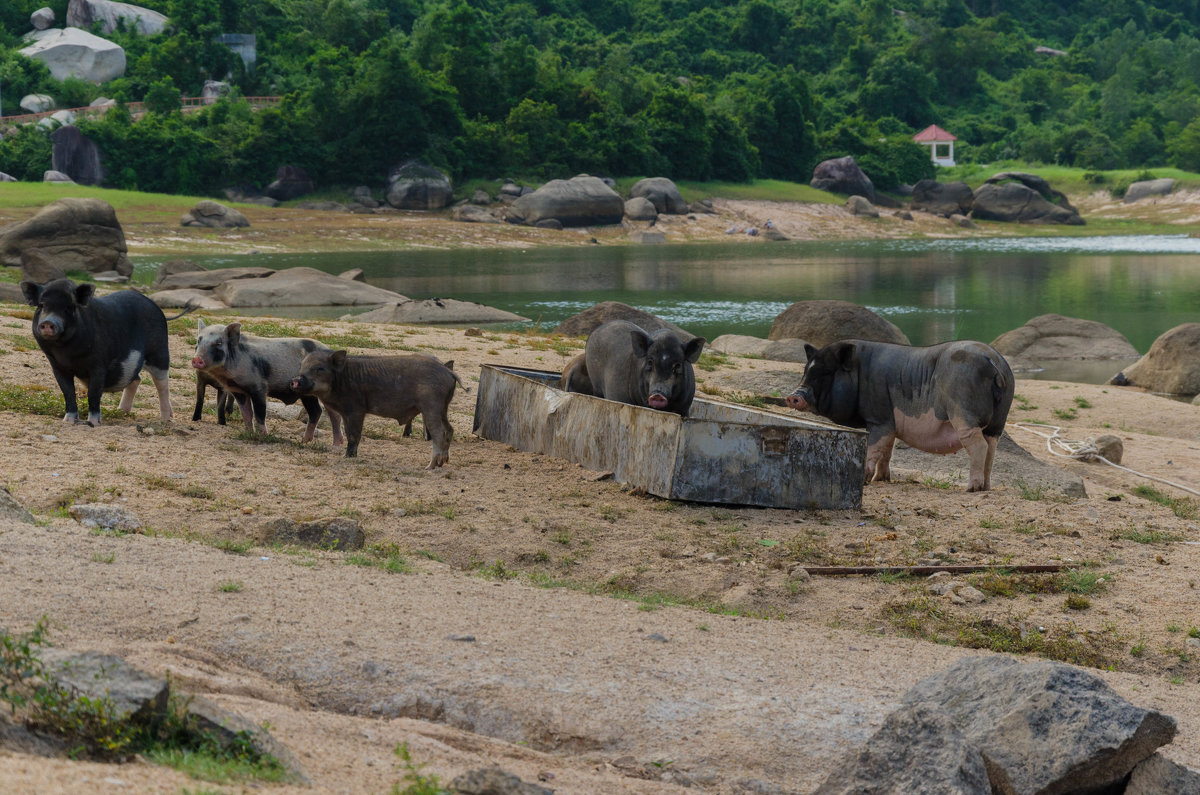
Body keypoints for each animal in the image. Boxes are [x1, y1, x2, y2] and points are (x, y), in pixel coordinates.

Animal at [19, 282, 193, 429]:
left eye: (70, 307)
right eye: (41, 305)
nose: (48, 322)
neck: (67, 352)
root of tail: (159, 310)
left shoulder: (99, 365)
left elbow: (93, 393)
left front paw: (93, 423)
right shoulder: (57, 366)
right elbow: (68, 392)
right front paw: (68, 421)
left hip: (160, 353)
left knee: (162, 384)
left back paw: (166, 420)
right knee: (137, 379)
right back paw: (121, 411)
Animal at [189, 321, 343, 444]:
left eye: (219, 343)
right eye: (199, 340)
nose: (197, 359)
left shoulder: (259, 387)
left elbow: (259, 413)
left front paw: (263, 437)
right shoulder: (238, 391)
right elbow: (247, 414)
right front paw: (248, 435)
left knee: (328, 413)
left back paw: (332, 445)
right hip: (307, 394)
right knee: (318, 411)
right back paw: (306, 441)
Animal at [288, 350, 465, 468]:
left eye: (319, 368)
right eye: (302, 366)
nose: (295, 380)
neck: (341, 380)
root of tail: (449, 372)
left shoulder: (356, 410)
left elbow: (354, 435)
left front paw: (348, 457)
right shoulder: (346, 413)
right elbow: (349, 433)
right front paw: (349, 456)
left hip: (431, 407)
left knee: (439, 434)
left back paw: (430, 467)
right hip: (443, 408)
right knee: (450, 429)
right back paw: (443, 462)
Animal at [576, 319, 705, 417]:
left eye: (677, 365)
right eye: (650, 362)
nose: (658, 394)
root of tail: (594, 331)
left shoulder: (684, 408)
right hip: (595, 383)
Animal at [787, 341, 1012, 492]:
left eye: (826, 372)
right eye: (806, 371)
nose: (793, 396)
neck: (859, 374)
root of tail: (993, 362)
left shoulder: (879, 418)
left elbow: (873, 448)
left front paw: (866, 481)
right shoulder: (890, 423)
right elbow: (887, 449)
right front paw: (881, 479)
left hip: (963, 413)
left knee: (978, 446)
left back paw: (971, 488)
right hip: (997, 423)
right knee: (991, 449)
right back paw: (986, 487)